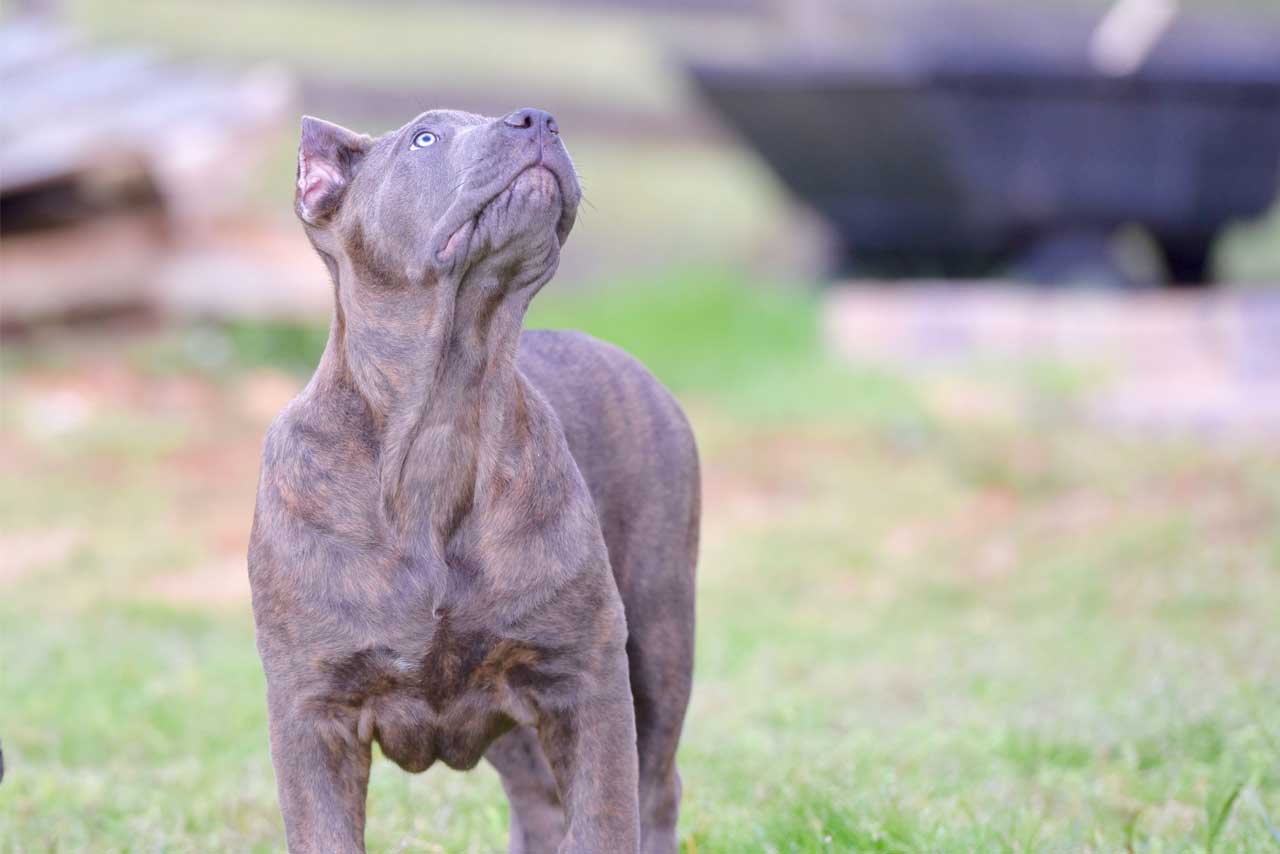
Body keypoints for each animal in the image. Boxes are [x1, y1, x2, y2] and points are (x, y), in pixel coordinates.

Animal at [248, 108, 701, 854]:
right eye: (424, 139)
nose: (538, 118)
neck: (443, 418)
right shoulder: (315, 710)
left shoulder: (586, 678)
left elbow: (606, 819)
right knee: (540, 802)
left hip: (661, 641)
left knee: (655, 790)